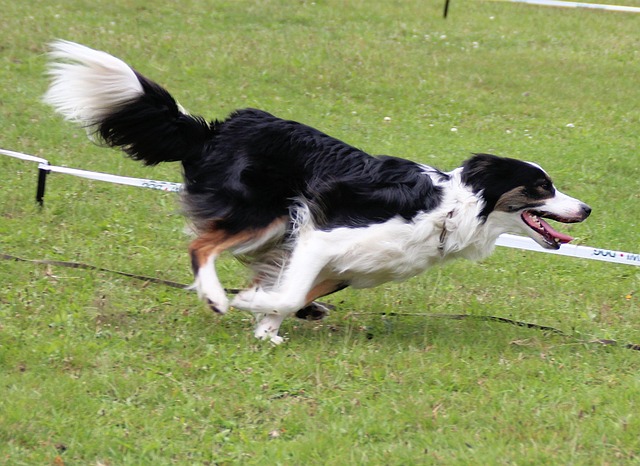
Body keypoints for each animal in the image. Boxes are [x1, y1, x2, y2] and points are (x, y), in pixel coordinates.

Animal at [42, 41, 592, 344]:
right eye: (542, 186)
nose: (586, 209)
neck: (454, 210)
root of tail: (216, 129)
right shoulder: (322, 235)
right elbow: (287, 295)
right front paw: (251, 306)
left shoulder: (343, 264)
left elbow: (293, 294)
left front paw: (265, 325)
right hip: (263, 213)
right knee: (200, 245)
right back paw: (216, 296)